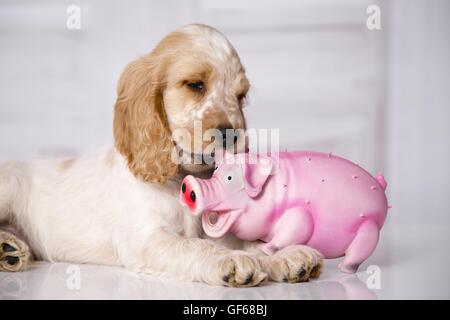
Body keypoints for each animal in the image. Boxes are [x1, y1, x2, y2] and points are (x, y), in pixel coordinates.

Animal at [0, 23, 324, 286]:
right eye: (195, 84)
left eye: (240, 96)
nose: (232, 134)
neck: (181, 176)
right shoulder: (147, 239)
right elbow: (195, 245)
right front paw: (229, 260)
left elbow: (249, 242)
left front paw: (284, 255)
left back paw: (10, 249)